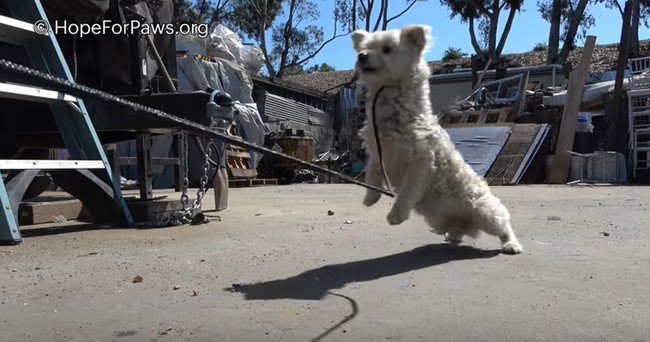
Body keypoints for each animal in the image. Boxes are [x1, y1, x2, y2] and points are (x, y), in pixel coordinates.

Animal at [350, 25, 520, 254]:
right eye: (365, 47)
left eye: (387, 49)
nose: (362, 55)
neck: (395, 115)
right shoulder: (377, 152)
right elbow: (372, 174)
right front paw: (370, 198)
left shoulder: (421, 164)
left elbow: (407, 192)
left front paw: (396, 215)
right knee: (460, 230)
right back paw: (455, 234)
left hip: (486, 212)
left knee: (504, 225)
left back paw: (511, 244)